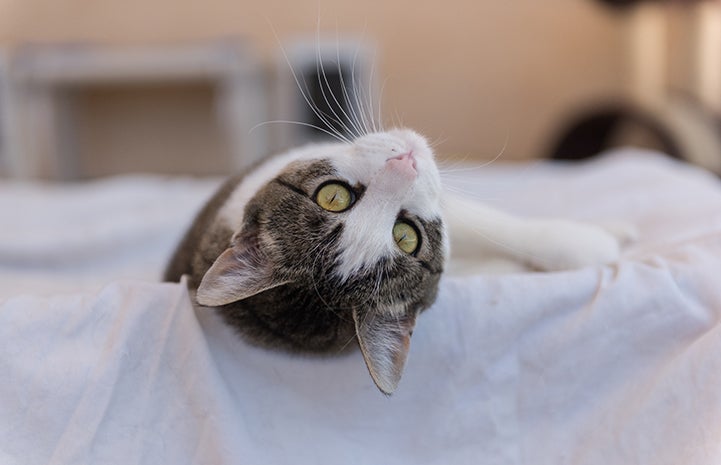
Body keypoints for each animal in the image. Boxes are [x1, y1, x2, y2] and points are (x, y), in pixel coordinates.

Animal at [166, 128, 628, 396]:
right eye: (333, 195)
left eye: (406, 236)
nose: (405, 162)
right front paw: (596, 245)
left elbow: (492, 227)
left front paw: (604, 234)